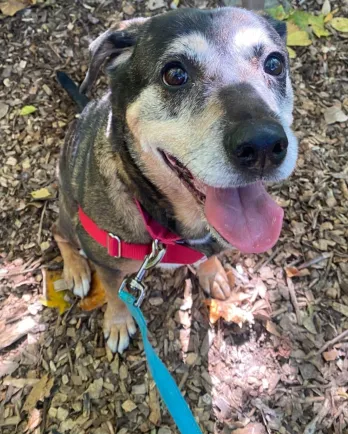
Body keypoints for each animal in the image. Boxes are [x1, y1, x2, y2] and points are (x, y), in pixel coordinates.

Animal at [54, 5, 296, 352]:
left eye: (275, 64)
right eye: (175, 74)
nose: (263, 145)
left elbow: (209, 258)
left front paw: (214, 274)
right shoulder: (107, 260)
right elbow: (115, 293)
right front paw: (118, 322)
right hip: (69, 212)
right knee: (59, 234)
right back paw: (75, 270)